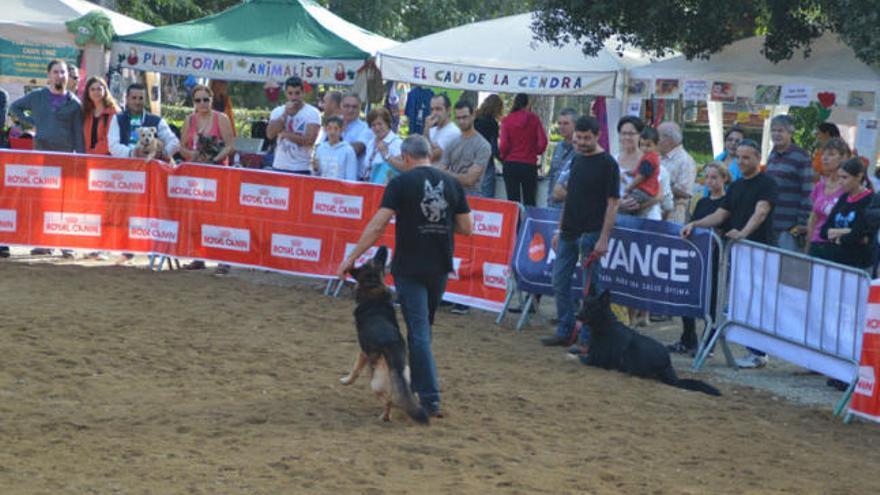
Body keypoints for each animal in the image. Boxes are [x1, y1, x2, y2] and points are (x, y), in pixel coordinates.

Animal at [340, 246, 430, 424]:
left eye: (373, 260)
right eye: (378, 260)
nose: (383, 247)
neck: (373, 286)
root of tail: (393, 352)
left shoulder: (363, 352)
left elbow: (355, 369)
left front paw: (346, 381)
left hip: (376, 382)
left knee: (390, 400)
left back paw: (385, 416)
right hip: (405, 377)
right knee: (407, 397)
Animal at [576, 290, 720, 400]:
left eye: (591, 307)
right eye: (584, 304)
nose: (576, 315)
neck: (605, 325)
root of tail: (667, 363)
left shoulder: (593, 360)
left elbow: (580, 357)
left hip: (631, 353)